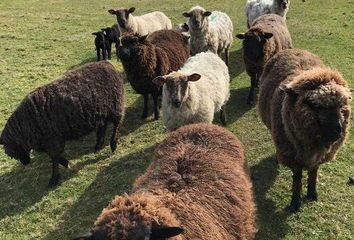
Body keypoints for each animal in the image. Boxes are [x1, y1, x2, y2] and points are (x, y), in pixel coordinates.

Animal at [0, 60, 124, 188]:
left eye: (12, 152)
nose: (25, 163)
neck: (27, 124)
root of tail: (107, 63)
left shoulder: (53, 140)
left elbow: (54, 158)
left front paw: (54, 179)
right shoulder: (48, 142)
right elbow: (54, 156)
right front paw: (65, 163)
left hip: (115, 104)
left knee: (117, 123)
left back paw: (113, 144)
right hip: (101, 113)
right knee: (103, 126)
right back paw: (98, 145)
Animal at [258, 48, 352, 212]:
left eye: (342, 105)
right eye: (315, 105)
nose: (338, 131)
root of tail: (292, 49)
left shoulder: (318, 157)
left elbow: (313, 174)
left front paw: (312, 193)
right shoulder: (294, 158)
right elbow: (297, 180)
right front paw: (295, 202)